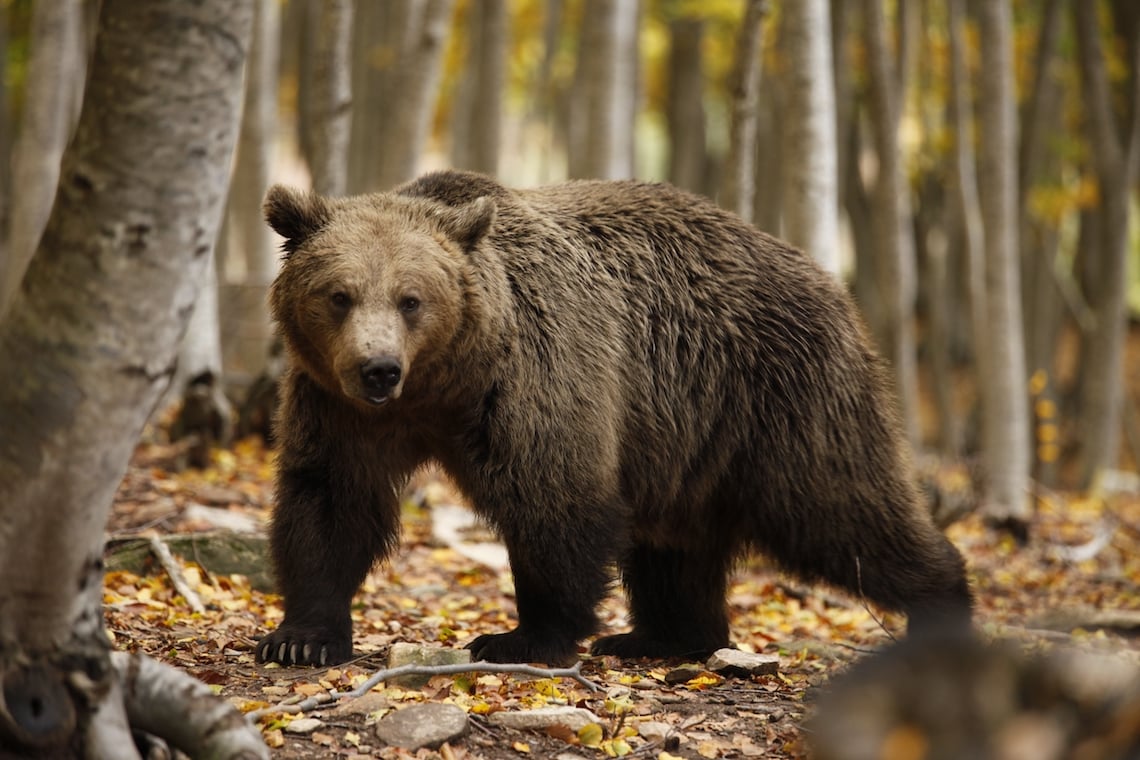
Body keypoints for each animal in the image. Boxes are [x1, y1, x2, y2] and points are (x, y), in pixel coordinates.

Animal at [258, 170, 971, 665]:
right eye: (339, 295)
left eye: (412, 299)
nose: (378, 369)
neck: (444, 382)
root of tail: (830, 281)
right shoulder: (340, 409)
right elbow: (331, 500)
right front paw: (300, 638)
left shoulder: (535, 378)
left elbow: (554, 500)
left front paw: (520, 636)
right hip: (685, 441)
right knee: (673, 547)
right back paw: (659, 638)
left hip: (781, 396)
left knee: (842, 511)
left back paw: (944, 603)